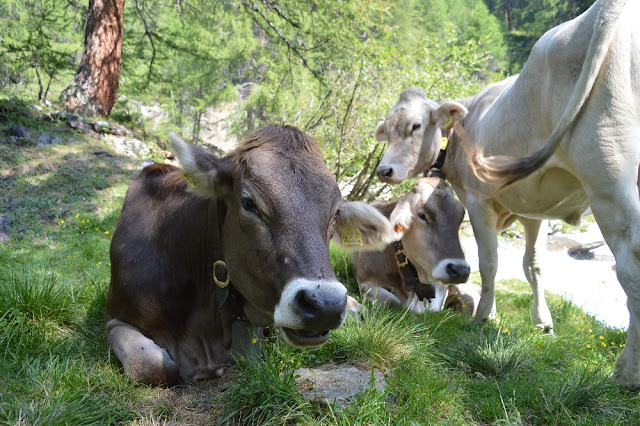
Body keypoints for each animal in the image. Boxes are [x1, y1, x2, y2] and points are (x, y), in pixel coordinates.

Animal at [376, 0, 640, 388]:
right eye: (387, 128)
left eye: (415, 126)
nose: (383, 170)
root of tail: (606, 9)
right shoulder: (534, 210)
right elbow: (534, 265)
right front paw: (542, 321)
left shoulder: (478, 200)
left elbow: (488, 262)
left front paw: (485, 315)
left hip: (608, 175)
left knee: (630, 264)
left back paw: (627, 372)